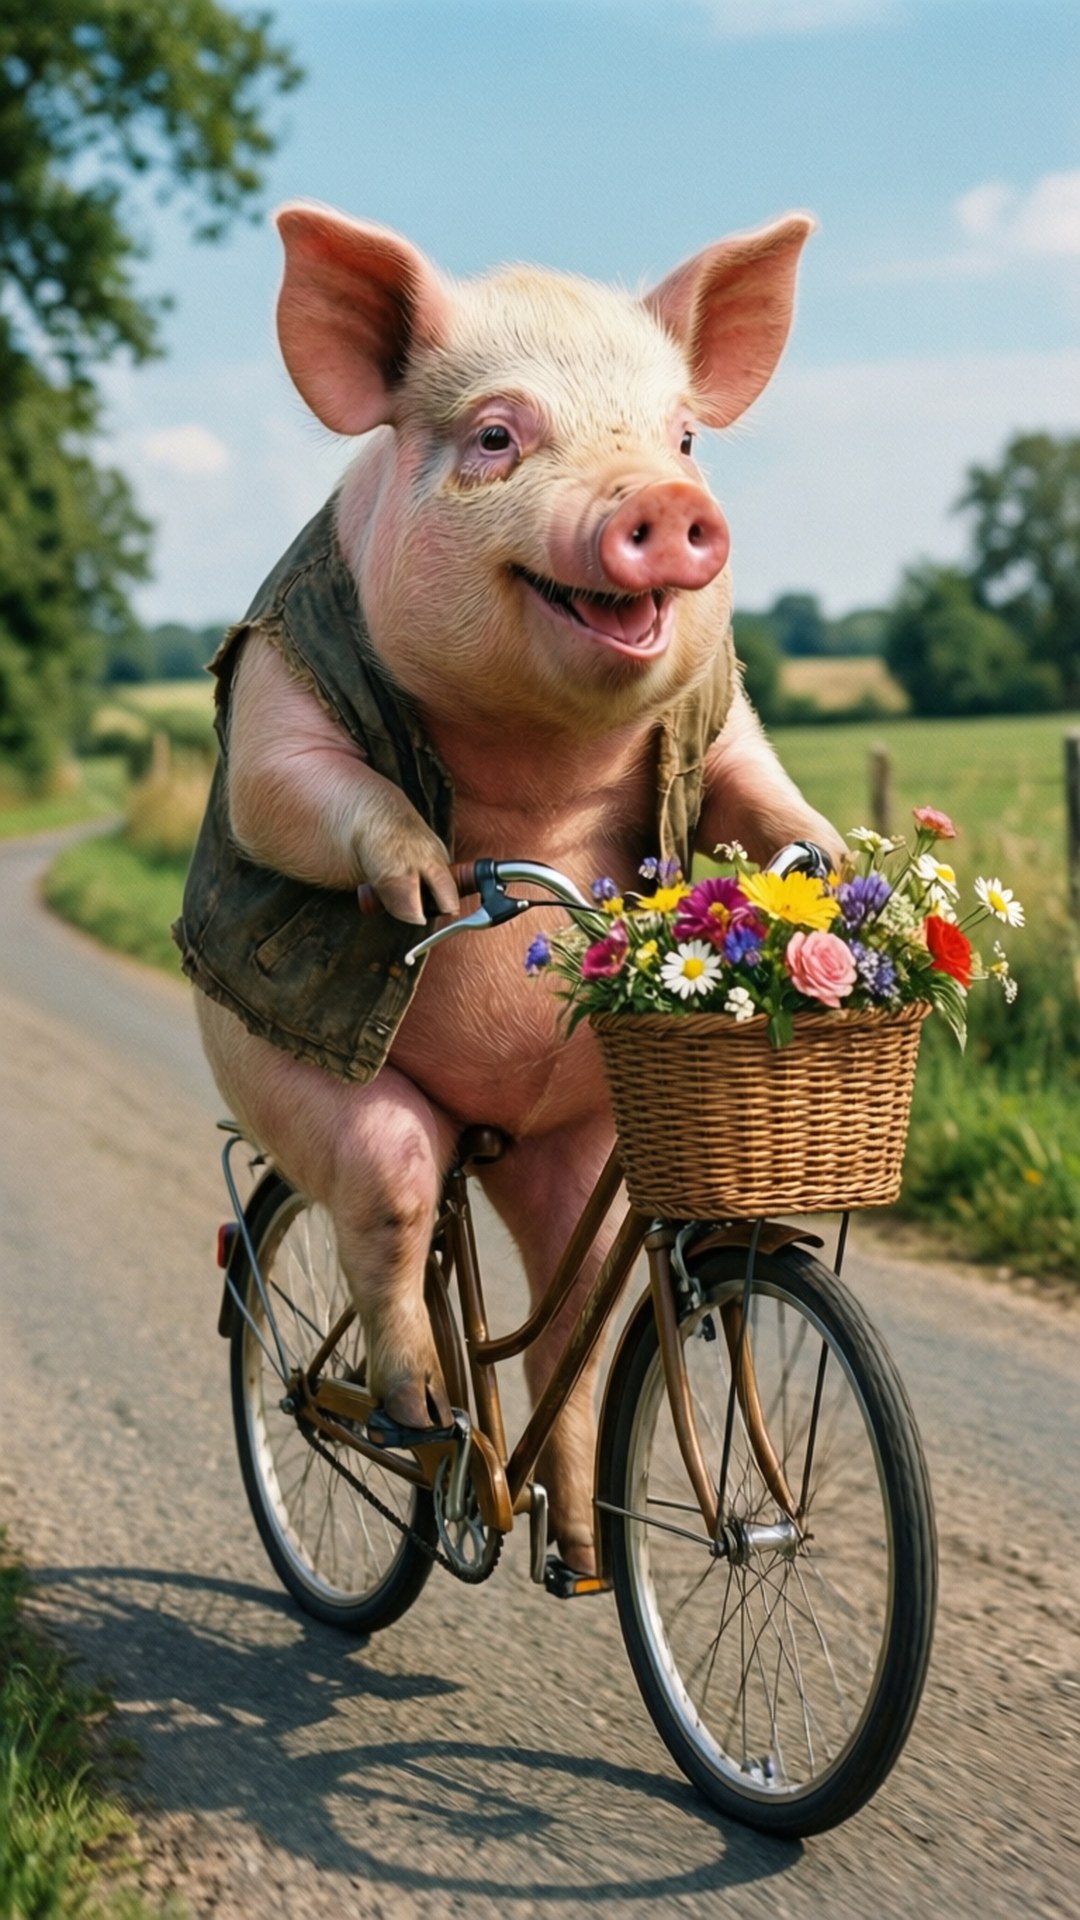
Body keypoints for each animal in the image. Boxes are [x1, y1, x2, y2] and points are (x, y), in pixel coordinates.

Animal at [179, 202, 841, 1576]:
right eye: (495, 435)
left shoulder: (719, 702)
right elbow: (285, 785)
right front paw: (428, 887)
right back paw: (416, 1422)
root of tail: (489, 1125)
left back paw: (578, 1542)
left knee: (568, 1316)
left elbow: (742, 771)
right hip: (289, 1082)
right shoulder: (281, 663)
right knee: (385, 1212)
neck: (543, 761)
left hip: (579, 1134)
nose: (669, 503)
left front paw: (831, 857)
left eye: (686, 437)